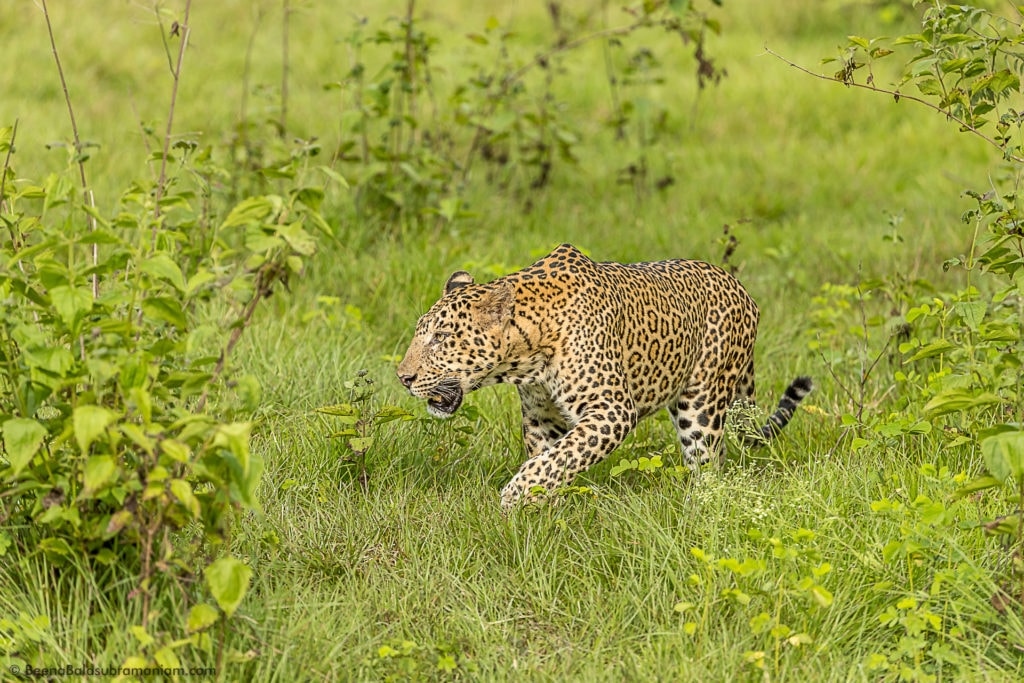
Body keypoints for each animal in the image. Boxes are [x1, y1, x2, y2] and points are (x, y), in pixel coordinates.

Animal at [395, 244, 811, 507]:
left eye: (441, 337)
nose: (403, 377)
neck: (527, 355)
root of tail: (741, 288)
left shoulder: (611, 409)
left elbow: (560, 458)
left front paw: (514, 495)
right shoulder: (541, 418)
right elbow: (552, 460)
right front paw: (539, 512)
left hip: (703, 404)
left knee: (708, 462)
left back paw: (699, 505)